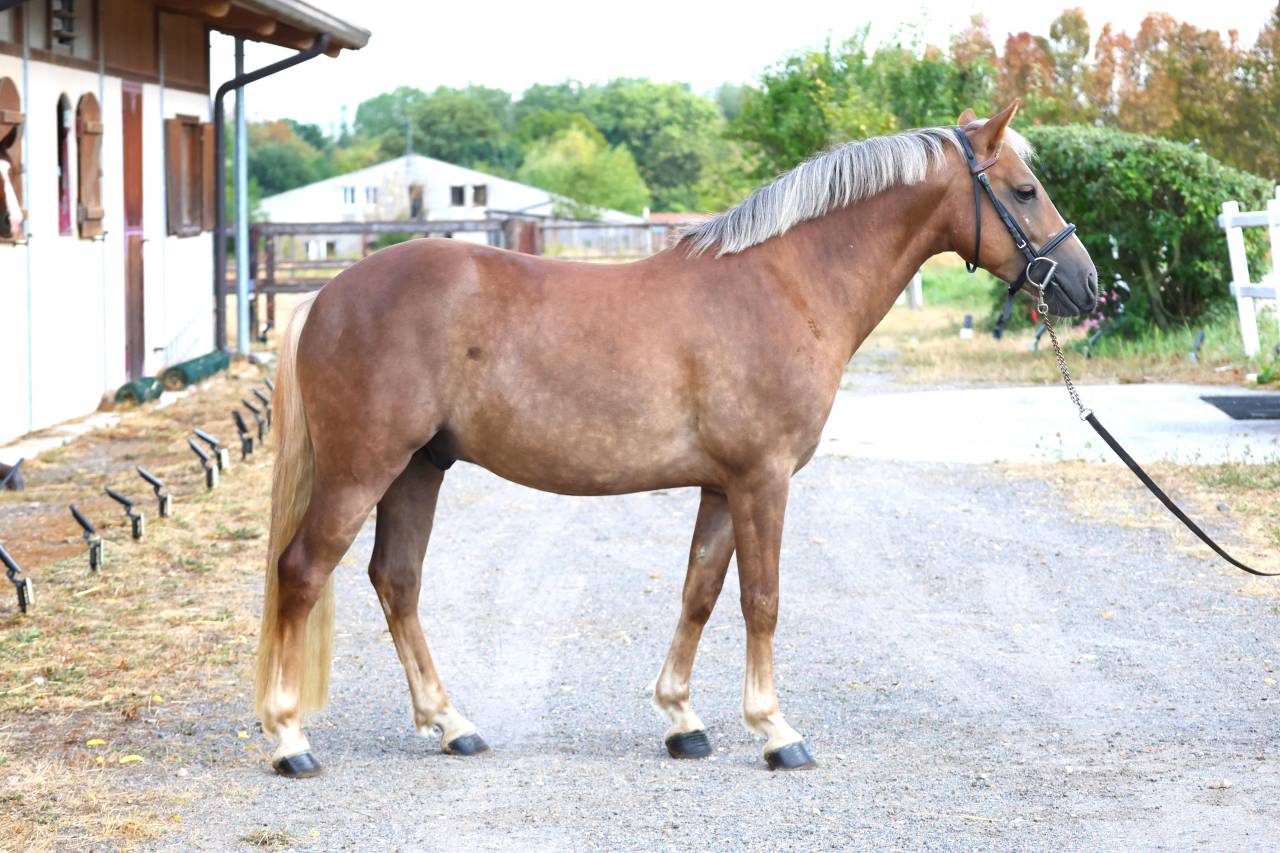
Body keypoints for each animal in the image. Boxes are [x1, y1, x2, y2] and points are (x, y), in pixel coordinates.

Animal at [254, 101, 1098, 777]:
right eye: (1024, 189)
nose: (1087, 286)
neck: (785, 285)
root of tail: (326, 296)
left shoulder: (722, 484)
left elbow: (700, 592)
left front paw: (683, 719)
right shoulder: (762, 478)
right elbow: (761, 599)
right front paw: (775, 730)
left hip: (418, 470)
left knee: (397, 579)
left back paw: (451, 723)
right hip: (364, 469)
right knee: (302, 571)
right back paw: (291, 739)